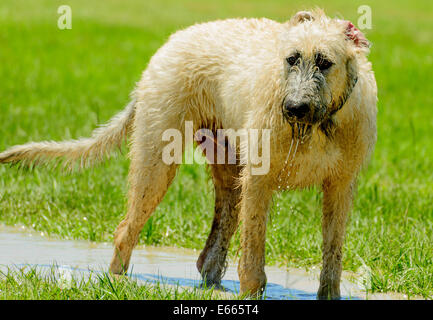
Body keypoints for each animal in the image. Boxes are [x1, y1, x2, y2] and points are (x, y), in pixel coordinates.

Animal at [0, 10, 374, 300]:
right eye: (292, 58)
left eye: (324, 62)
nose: (294, 108)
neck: (321, 124)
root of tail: (168, 44)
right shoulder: (259, 180)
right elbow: (253, 247)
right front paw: (252, 291)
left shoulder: (341, 187)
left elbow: (333, 248)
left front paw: (329, 293)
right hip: (156, 157)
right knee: (126, 228)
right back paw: (118, 280)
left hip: (225, 163)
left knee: (218, 229)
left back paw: (211, 281)